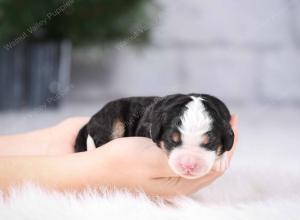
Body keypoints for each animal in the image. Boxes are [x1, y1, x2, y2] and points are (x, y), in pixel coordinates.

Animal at [75, 93, 234, 180]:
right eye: (172, 140)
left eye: (210, 143)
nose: (188, 166)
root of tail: (90, 121)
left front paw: (221, 160)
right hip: (112, 118)